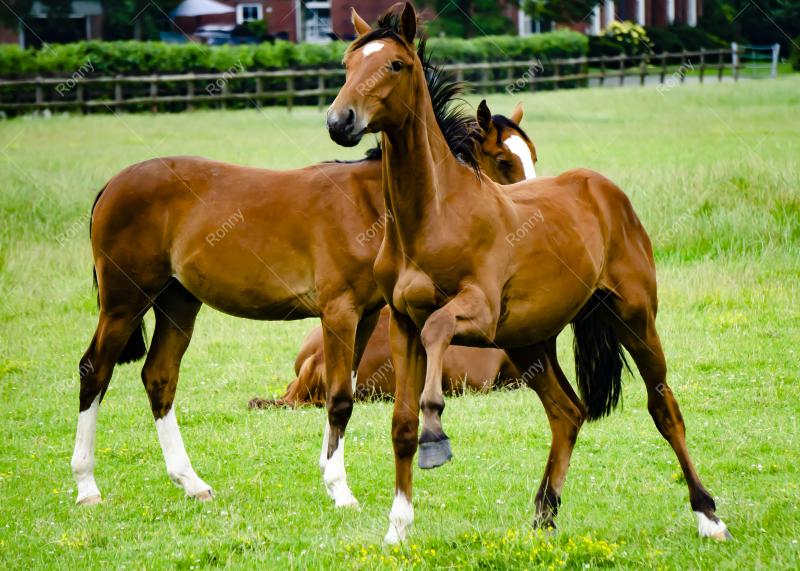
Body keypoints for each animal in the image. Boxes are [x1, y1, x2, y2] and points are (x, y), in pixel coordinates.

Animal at [327, 3, 730, 543]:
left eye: (395, 64)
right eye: (348, 65)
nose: (340, 120)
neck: (433, 218)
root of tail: (605, 190)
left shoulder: (476, 313)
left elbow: (438, 332)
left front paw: (437, 435)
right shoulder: (403, 325)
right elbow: (401, 425)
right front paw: (398, 527)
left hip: (634, 318)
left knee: (664, 408)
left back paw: (709, 516)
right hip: (528, 344)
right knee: (568, 412)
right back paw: (544, 514)